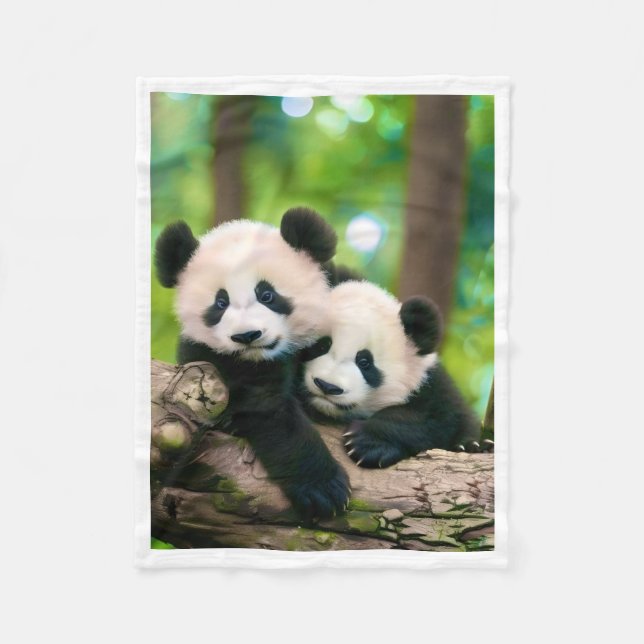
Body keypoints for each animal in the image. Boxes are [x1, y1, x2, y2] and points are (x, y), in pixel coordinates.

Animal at [155, 207, 350, 519]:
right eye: (220, 303)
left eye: (267, 294)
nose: (247, 336)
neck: (260, 358)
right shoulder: (212, 359)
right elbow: (269, 410)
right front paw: (323, 489)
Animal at [299, 280, 492, 468]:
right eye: (321, 345)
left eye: (364, 362)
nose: (327, 386)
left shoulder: (434, 387)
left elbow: (437, 421)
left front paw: (367, 443)